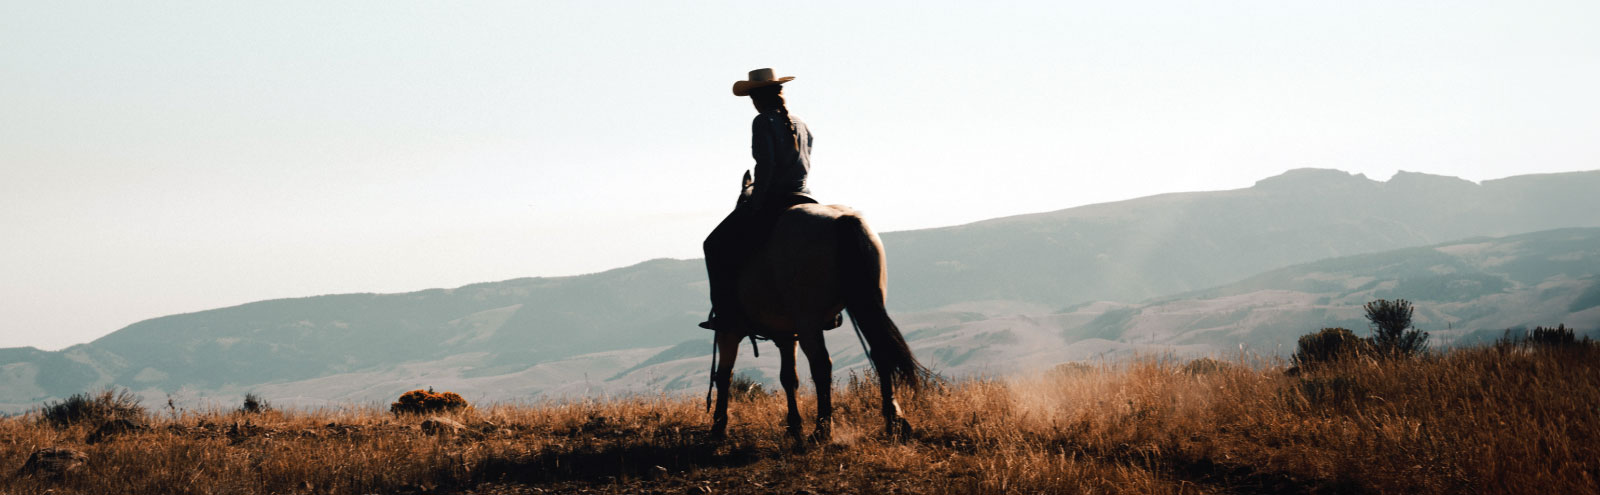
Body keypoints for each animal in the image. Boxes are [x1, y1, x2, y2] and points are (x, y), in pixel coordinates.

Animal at [704, 172, 928, 438]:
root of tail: (843, 220)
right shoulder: (787, 334)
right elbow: (788, 377)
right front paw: (793, 425)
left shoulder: (729, 329)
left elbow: (724, 375)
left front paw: (719, 425)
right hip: (864, 308)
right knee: (879, 352)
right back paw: (894, 422)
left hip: (808, 320)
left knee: (821, 365)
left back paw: (822, 428)